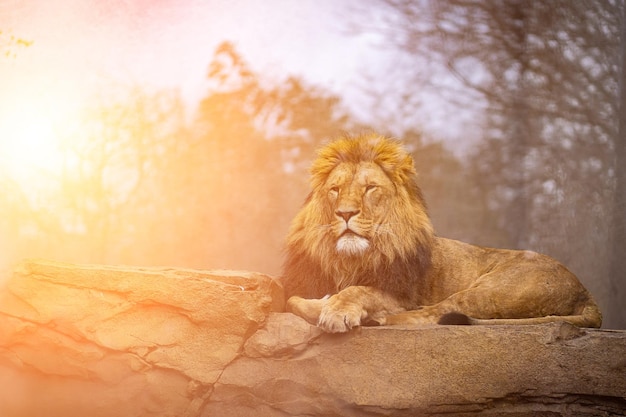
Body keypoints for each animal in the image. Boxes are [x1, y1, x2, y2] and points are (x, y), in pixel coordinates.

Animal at [280, 133, 604, 332]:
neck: (348, 259)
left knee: (434, 311)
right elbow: (292, 299)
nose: (345, 213)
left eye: (370, 188)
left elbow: (358, 290)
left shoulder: (402, 293)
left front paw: (337, 310)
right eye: (335, 190)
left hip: (493, 290)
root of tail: (585, 289)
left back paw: (379, 318)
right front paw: (325, 303)